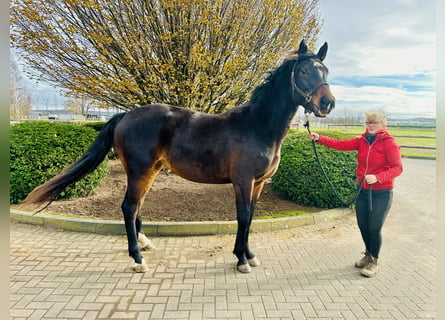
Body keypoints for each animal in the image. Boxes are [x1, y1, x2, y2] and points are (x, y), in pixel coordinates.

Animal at [20, 40, 332, 274]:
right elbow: (243, 217)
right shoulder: (243, 181)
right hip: (140, 171)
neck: (257, 125)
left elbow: (251, 217)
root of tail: (125, 115)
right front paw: (241, 260)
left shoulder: (258, 183)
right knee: (128, 207)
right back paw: (137, 259)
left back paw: (144, 244)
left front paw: (249, 254)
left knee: (137, 206)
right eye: (304, 71)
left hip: (150, 171)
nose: (327, 103)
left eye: (325, 71)